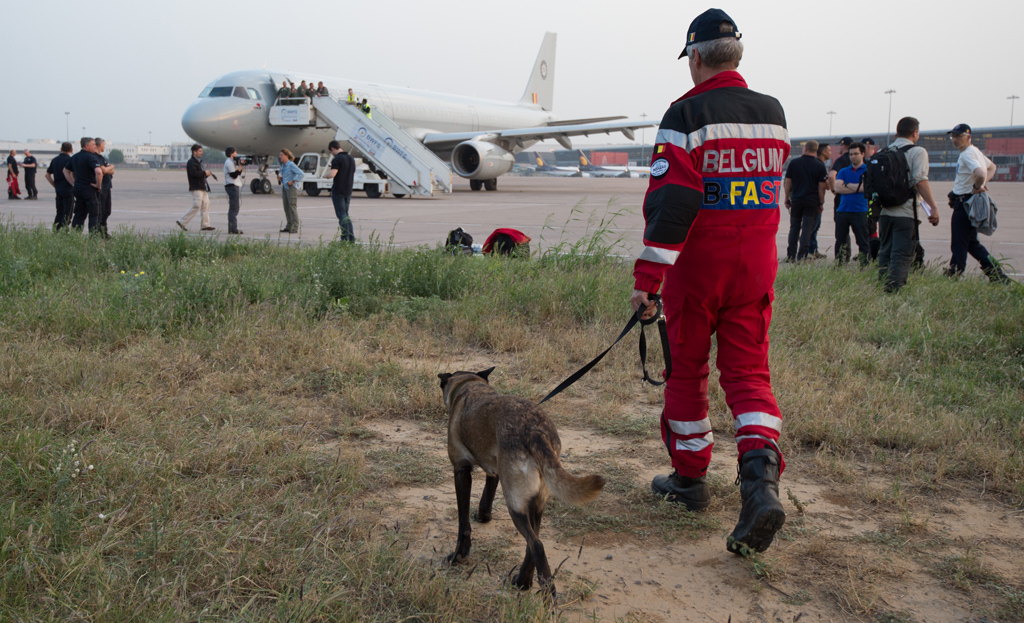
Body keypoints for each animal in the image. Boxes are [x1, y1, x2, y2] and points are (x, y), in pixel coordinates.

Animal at [436, 366, 602, 594]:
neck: (470, 386)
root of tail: (535, 431)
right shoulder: (494, 472)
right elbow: (486, 498)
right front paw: (483, 516)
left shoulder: (461, 471)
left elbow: (463, 524)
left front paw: (458, 556)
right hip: (535, 503)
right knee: (534, 541)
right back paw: (523, 581)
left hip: (515, 504)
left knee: (537, 545)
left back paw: (547, 596)